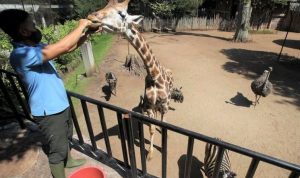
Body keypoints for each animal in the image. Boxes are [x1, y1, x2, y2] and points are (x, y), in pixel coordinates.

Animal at [86, 0, 175, 160]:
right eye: (106, 6)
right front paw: (149, 154)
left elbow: (163, 124)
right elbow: (151, 129)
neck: (154, 74)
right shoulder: (149, 107)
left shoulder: (164, 105)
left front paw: (161, 147)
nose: (91, 17)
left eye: (122, 14)